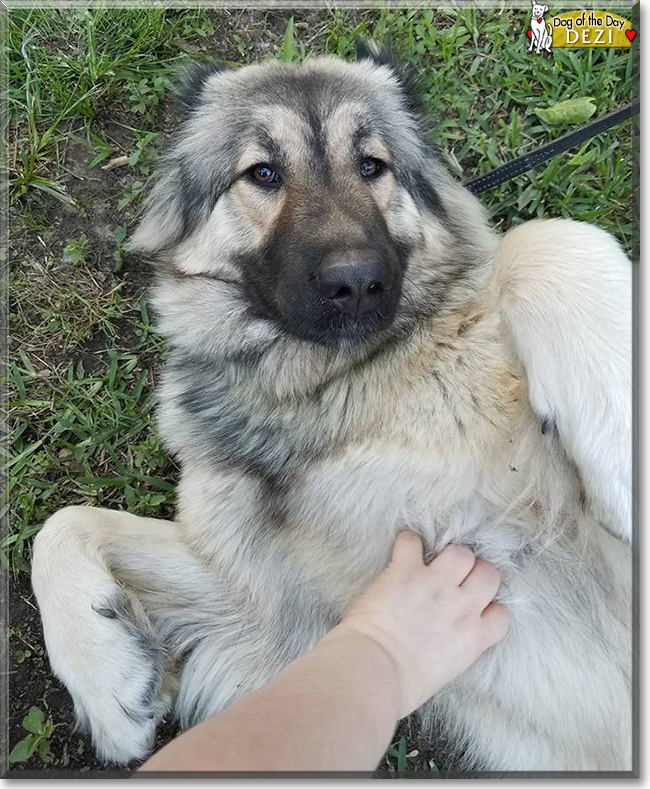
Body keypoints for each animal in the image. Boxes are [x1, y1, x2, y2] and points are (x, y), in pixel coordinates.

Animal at [29, 44, 628, 768]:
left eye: (371, 166)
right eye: (263, 173)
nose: (356, 283)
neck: (330, 390)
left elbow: (546, 237)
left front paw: (620, 455)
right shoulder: (276, 612)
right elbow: (61, 523)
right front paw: (107, 679)